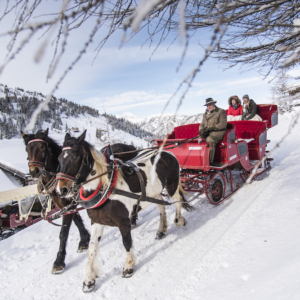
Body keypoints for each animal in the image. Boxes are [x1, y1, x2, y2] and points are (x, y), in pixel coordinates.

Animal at [21, 127, 137, 274]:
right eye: (27, 149)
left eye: (42, 146)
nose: (34, 171)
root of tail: (130, 146)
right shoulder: (65, 205)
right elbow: (77, 221)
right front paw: (84, 239)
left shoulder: (71, 205)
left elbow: (63, 233)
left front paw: (59, 261)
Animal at [56, 130, 192, 292]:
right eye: (59, 158)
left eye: (75, 156)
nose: (61, 190)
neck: (106, 188)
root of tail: (165, 152)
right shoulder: (96, 222)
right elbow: (91, 250)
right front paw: (88, 280)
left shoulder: (123, 222)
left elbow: (126, 242)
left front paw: (128, 266)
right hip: (154, 193)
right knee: (161, 207)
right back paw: (161, 230)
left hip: (172, 185)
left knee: (177, 201)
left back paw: (179, 220)